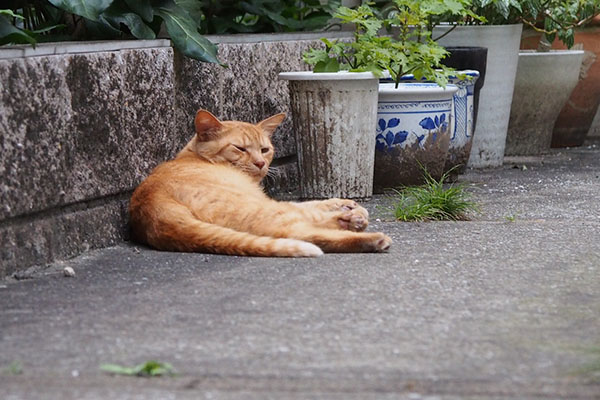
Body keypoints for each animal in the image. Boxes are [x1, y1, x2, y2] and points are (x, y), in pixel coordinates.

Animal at [130, 109, 394, 256]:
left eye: (265, 150)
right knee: (302, 231)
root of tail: (155, 212)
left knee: (301, 232)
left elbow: (311, 203)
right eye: (240, 148)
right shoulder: (266, 200)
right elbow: (307, 207)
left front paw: (344, 203)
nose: (260, 163)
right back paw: (365, 232)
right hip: (262, 208)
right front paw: (350, 209)